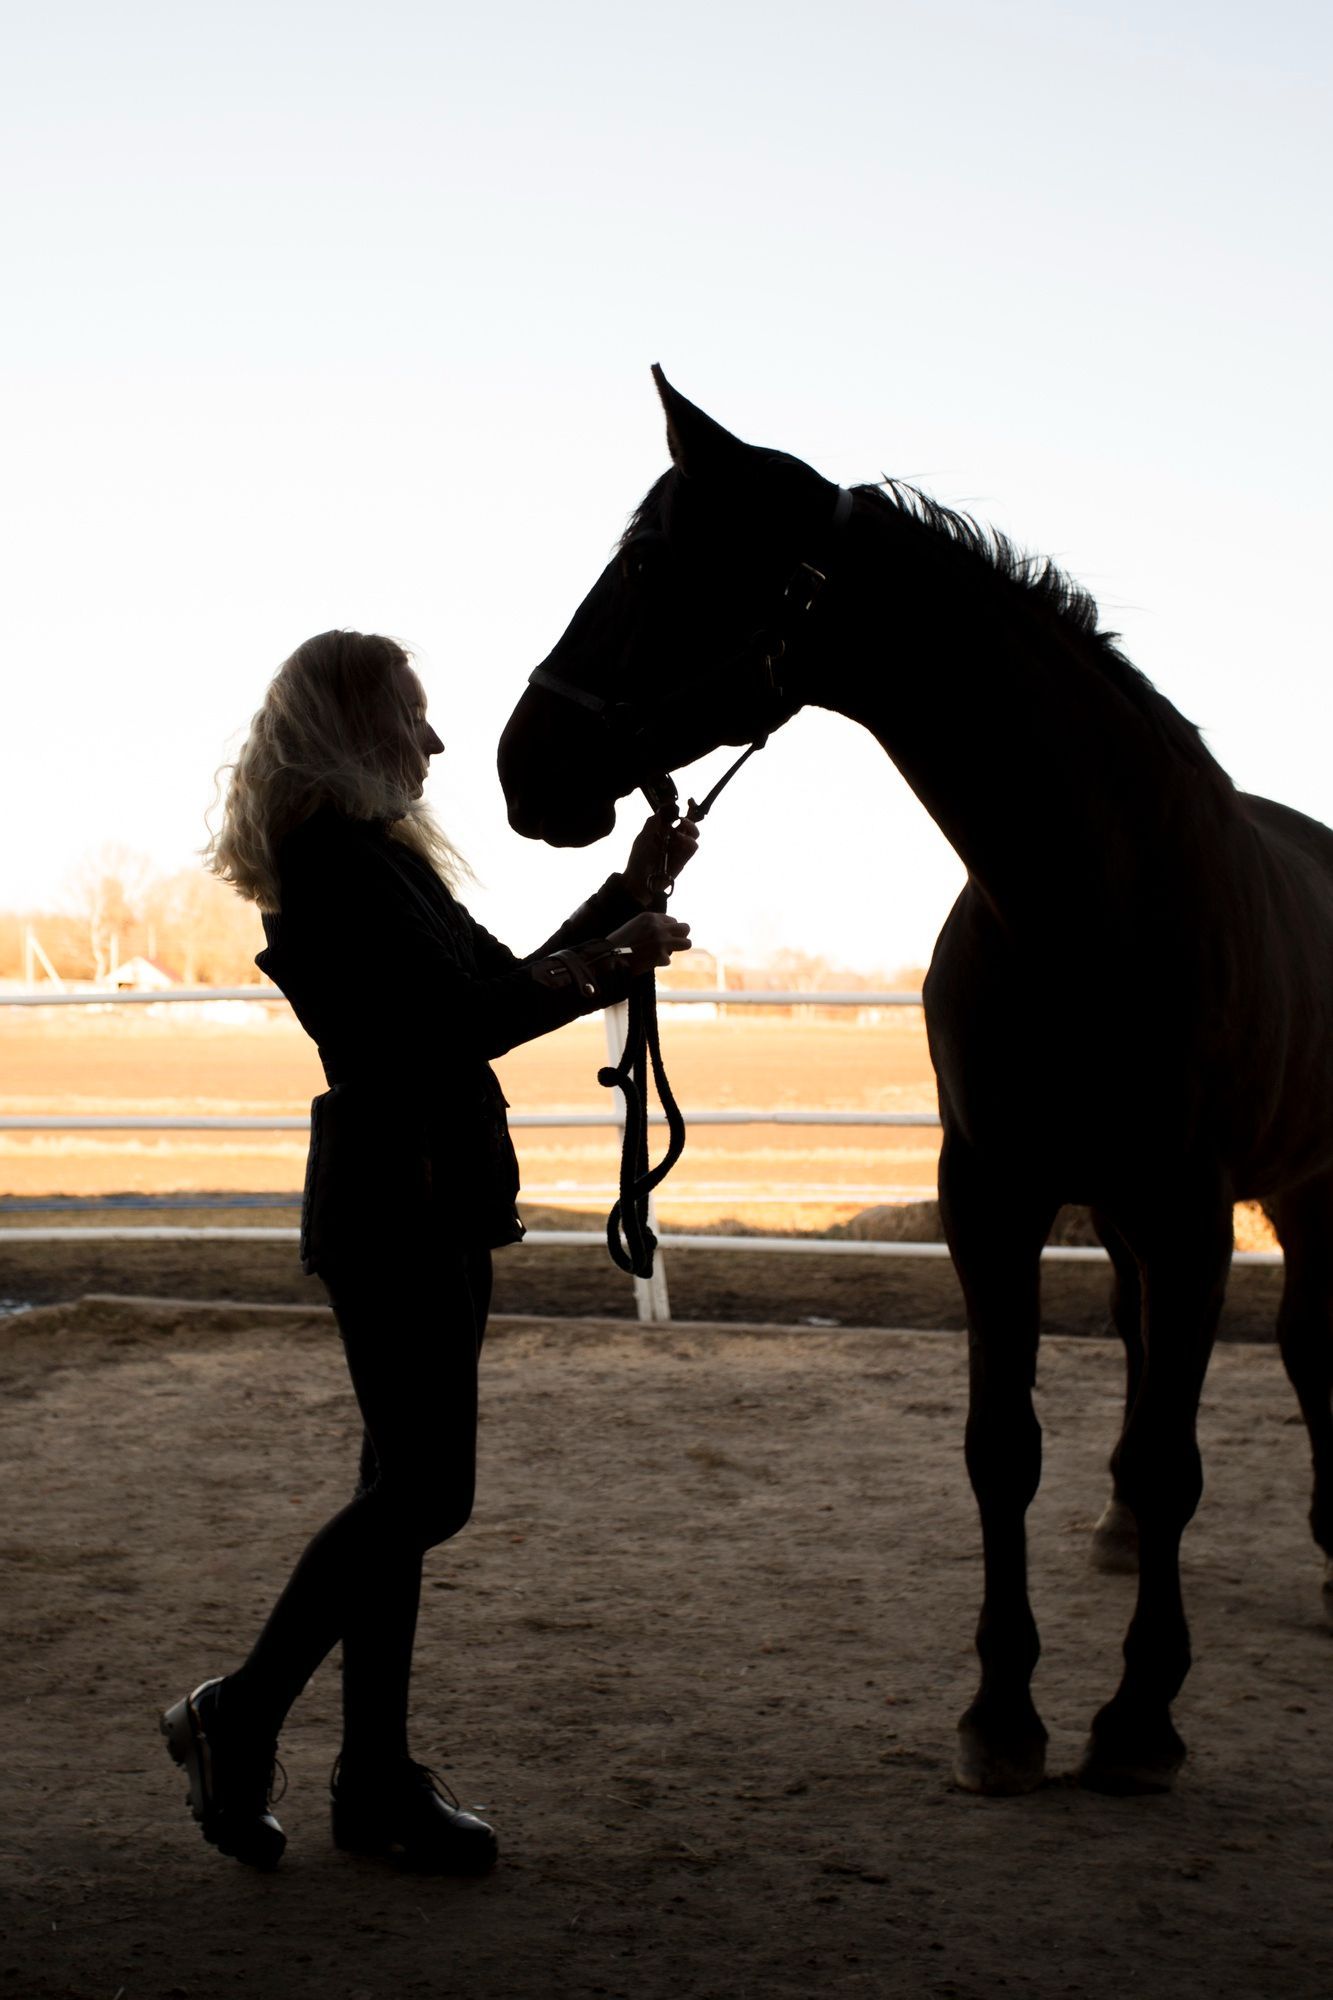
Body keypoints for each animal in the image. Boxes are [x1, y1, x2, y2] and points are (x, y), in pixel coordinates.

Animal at [497, 367, 1333, 1797]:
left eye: (651, 561)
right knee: (1142, 1350)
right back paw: (1119, 1526)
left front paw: (1137, 1717)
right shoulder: (993, 1195)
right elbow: (1003, 1448)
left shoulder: (1192, 1209)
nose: (520, 759)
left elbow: (1180, 1456)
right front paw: (1003, 1710)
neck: (1086, 905)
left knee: (1305, 1346)